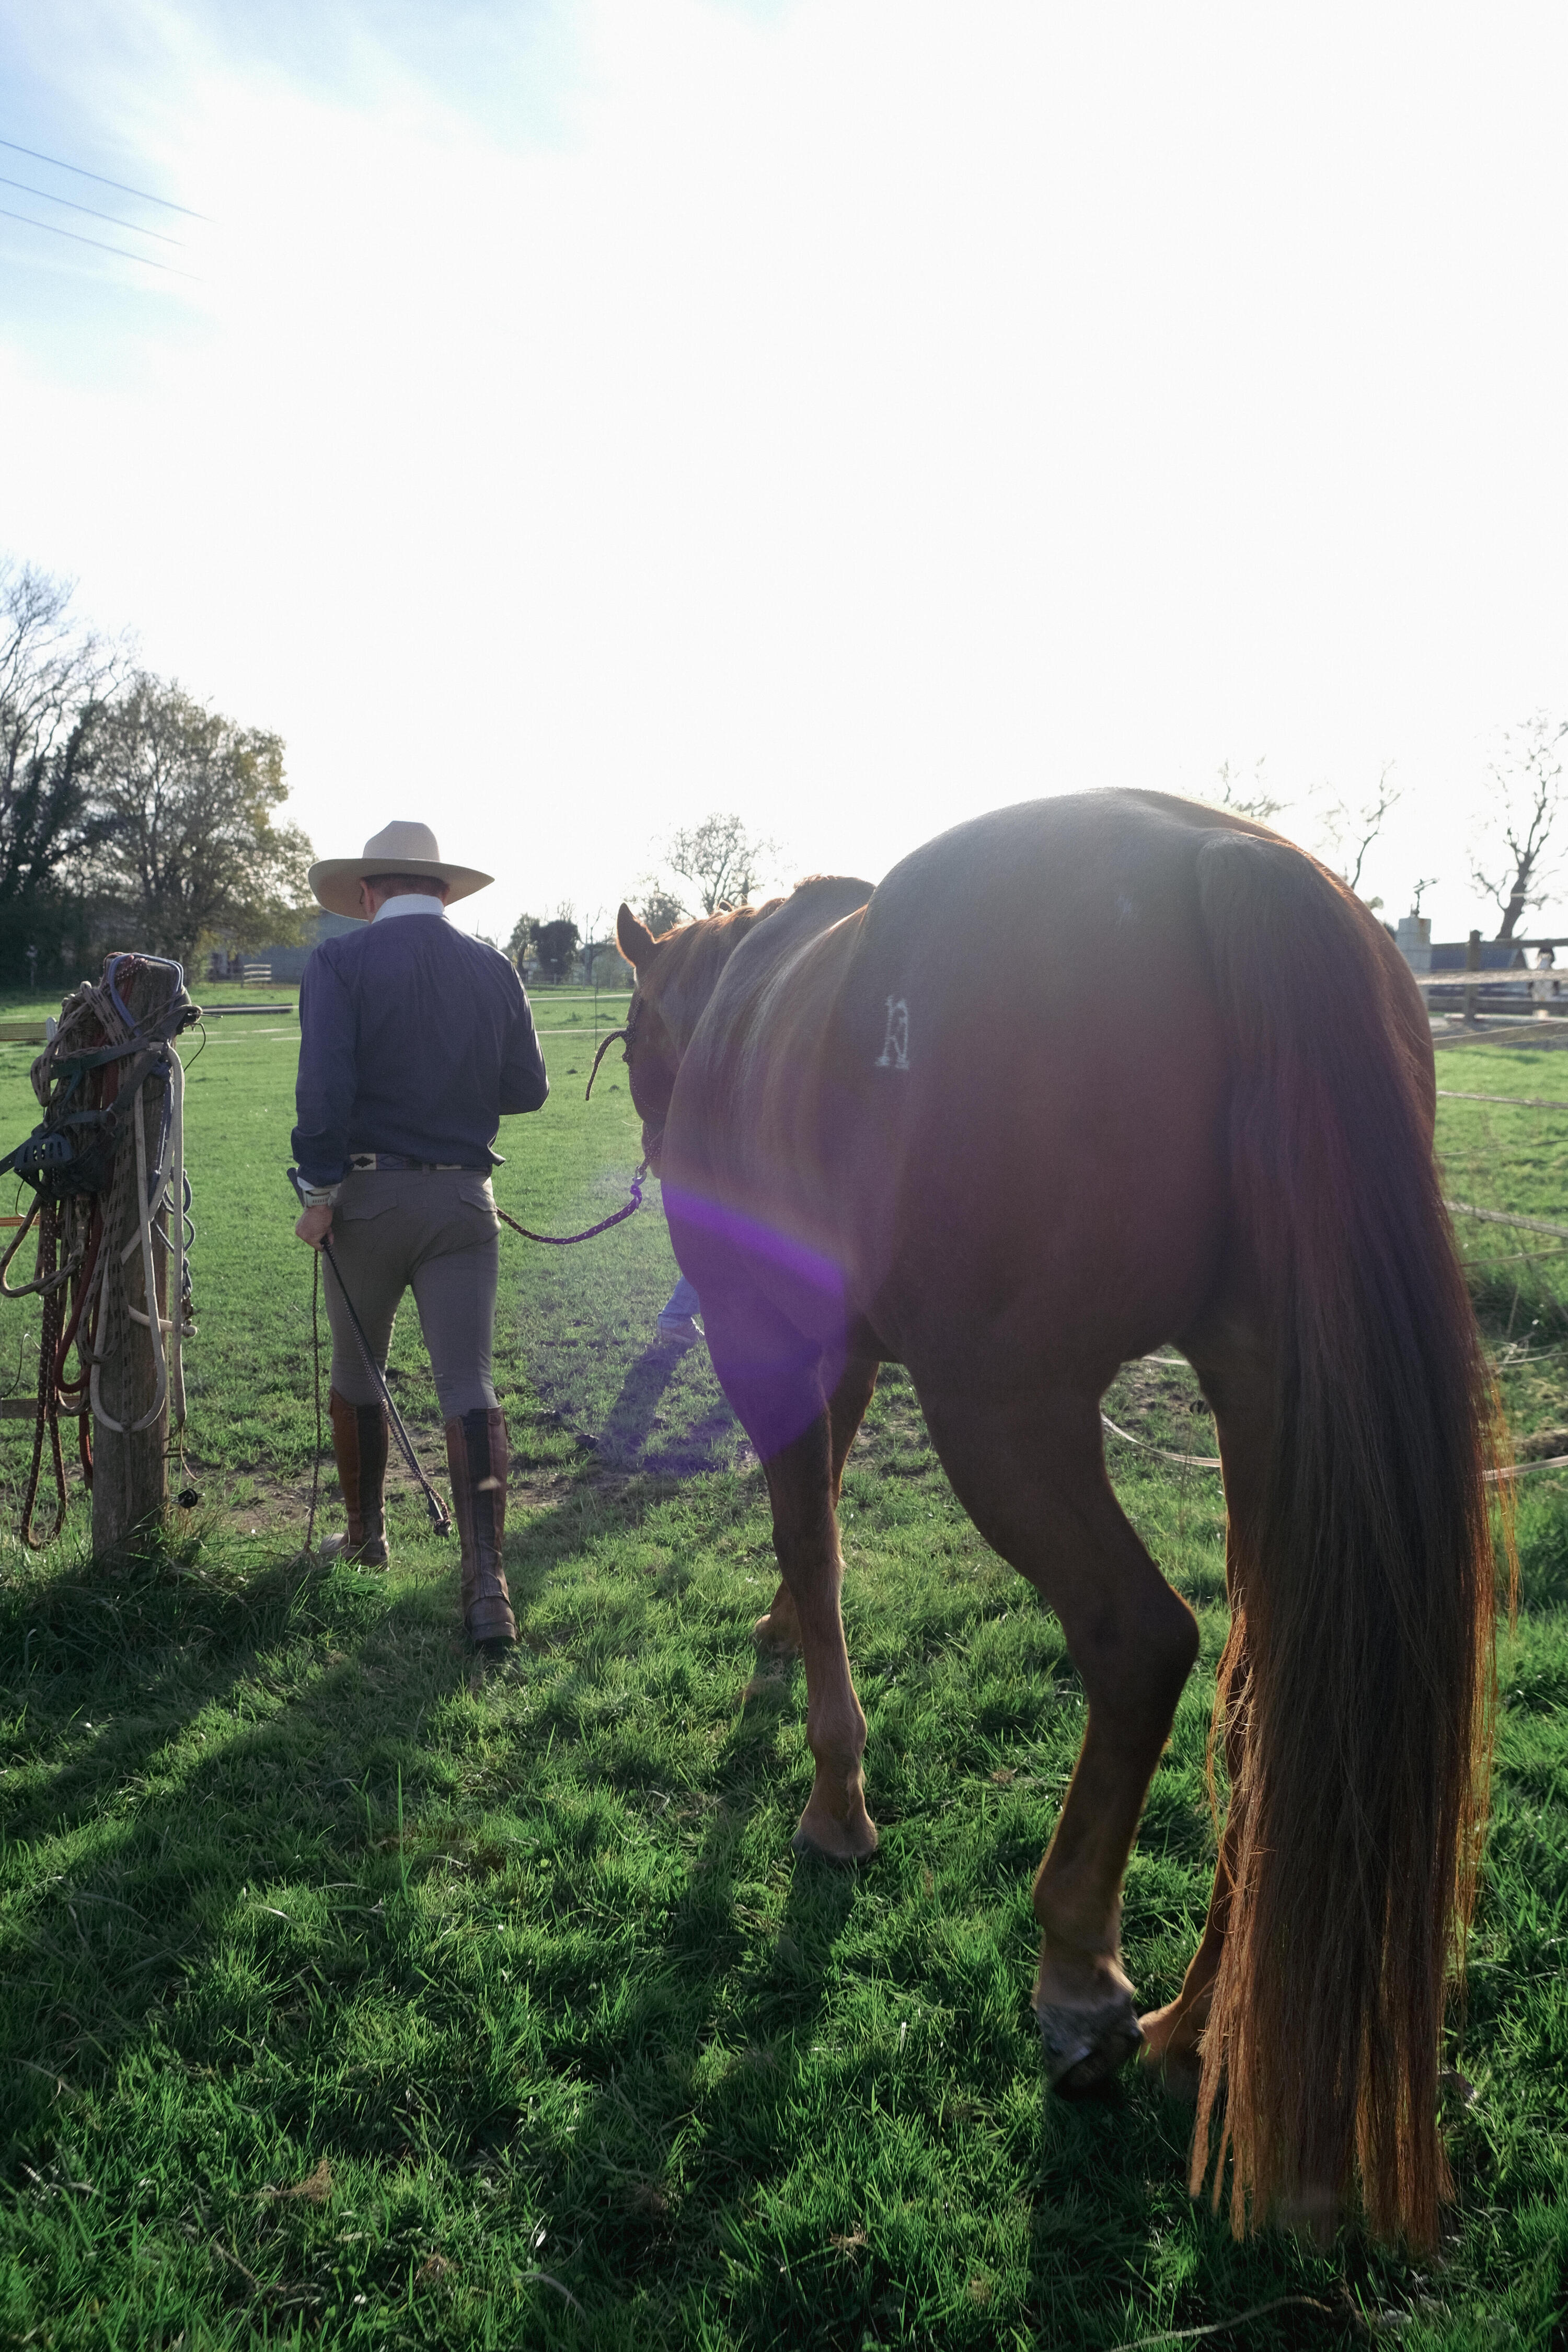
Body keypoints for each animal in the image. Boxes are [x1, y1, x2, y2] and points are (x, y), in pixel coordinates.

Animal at [611, 789, 1499, 2247]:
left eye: (634, 1045)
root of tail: (1212, 858)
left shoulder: (775, 1330)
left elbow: (812, 1530)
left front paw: (836, 1794)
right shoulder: (841, 1346)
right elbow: (821, 1504)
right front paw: (789, 1640)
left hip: (1010, 1412)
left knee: (1139, 1641)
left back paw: (1079, 1971)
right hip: (1266, 1390)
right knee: (1268, 1688)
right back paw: (1196, 2028)